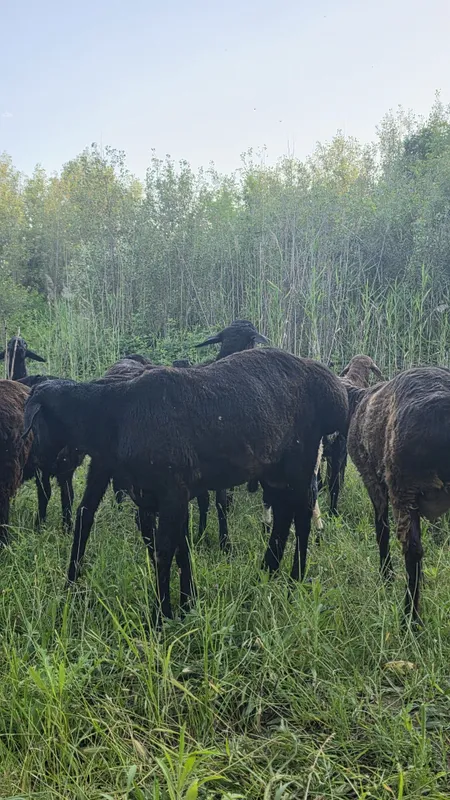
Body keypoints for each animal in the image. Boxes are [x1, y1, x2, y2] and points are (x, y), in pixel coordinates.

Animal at [23, 348, 349, 621]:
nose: (44, 464)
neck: (115, 414)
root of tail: (333, 390)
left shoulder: (172, 491)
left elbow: (165, 550)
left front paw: (161, 616)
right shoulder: (165, 494)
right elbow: (181, 548)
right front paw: (187, 604)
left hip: (301, 461)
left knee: (302, 515)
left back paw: (295, 579)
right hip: (275, 471)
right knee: (283, 516)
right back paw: (267, 572)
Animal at [345, 364, 450, 623]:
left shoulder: (373, 480)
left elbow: (381, 529)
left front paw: (386, 575)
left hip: (403, 488)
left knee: (412, 551)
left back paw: (409, 620)